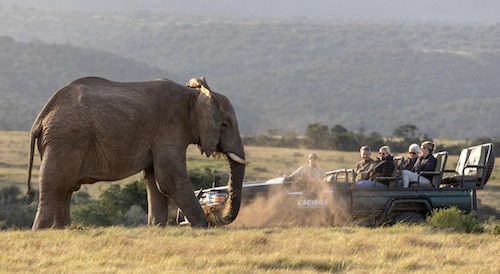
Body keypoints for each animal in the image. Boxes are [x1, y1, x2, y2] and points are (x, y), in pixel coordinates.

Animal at [25, 75, 246, 229]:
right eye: (224, 125)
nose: (212, 212)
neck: (194, 95)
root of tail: (41, 116)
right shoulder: (170, 129)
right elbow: (169, 179)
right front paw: (202, 227)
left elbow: (155, 181)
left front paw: (157, 228)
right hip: (66, 138)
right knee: (55, 186)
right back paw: (42, 231)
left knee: (65, 189)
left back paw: (62, 229)